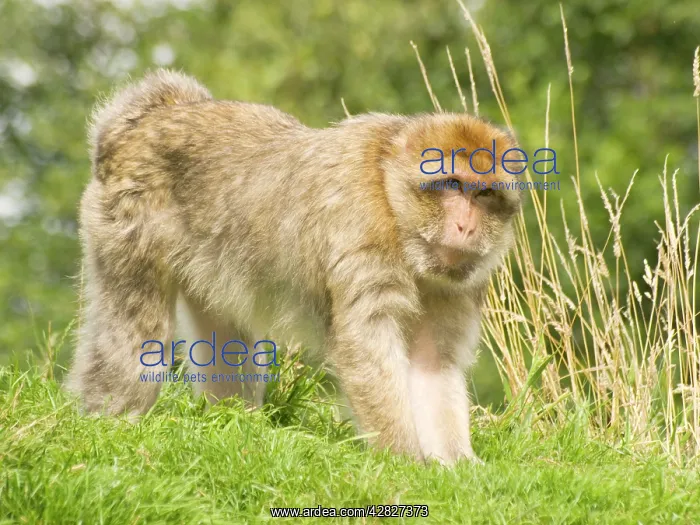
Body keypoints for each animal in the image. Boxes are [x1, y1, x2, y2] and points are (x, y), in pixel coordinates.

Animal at [66, 69, 522, 465]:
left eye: (483, 194)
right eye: (451, 184)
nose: (465, 226)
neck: (395, 207)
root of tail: (144, 119)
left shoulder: (457, 284)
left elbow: (432, 362)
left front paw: (458, 466)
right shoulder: (362, 232)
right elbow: (366, 345)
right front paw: (405, 460)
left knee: (224, 335)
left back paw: (236, 422)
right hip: (124, 220)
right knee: (137, 336)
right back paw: (109, 418)